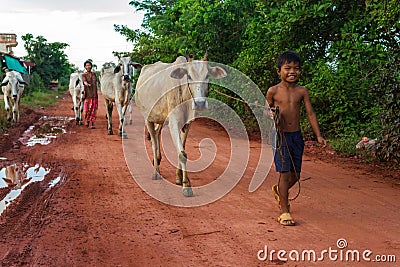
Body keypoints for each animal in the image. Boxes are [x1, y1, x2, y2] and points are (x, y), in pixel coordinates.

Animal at [134, 54, 227, 197]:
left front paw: (179, 177)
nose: (200, 103)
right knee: (153, 142)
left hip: (161, 119)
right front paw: (187, 185)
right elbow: (182, 153)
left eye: (207, 76)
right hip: (147, 118)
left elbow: (182, 149)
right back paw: (156, 171)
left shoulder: (187, 124)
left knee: (156, 133)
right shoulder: (174, 123)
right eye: (189, 76)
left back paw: (158, 162)